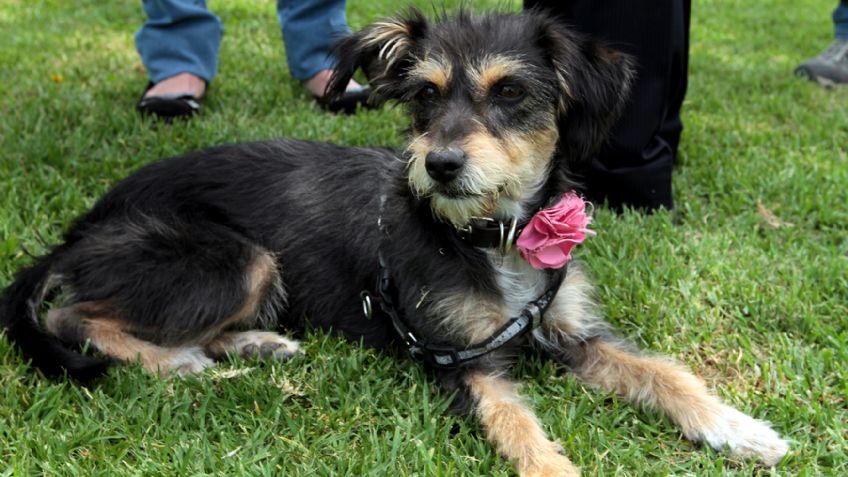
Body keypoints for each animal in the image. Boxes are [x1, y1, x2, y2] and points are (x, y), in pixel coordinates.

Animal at [3, 8, 792, 476]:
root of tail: (83, 223)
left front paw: (739, 428)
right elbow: (517, 424)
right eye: (425, 95)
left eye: (511, 93)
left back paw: (256, 344)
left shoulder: (571, 332)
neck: (493, 234)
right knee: (76, 314)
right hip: (234, 258)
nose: (439, 165)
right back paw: (184, 363)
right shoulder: (457, 359)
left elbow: (667, 373)